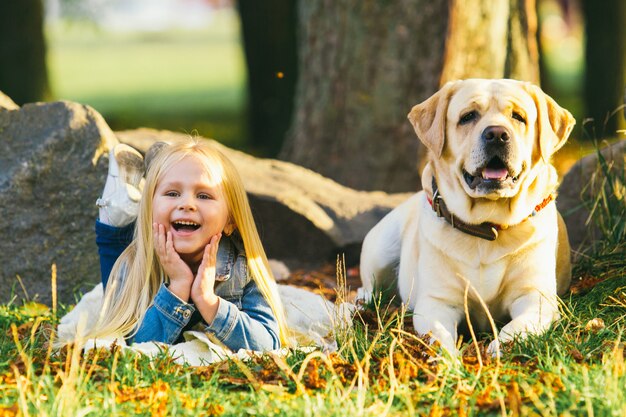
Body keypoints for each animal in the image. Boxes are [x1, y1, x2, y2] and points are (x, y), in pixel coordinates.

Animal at [358, 78, 572, 354]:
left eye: (518, 117)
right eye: (468, 116)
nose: (497, 134)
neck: (487, 228)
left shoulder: (536, 296)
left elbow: (517, 326)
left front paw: (499, 348)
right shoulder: (437, 302)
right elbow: (439, 336)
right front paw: (448, 357)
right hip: (380, 249)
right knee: (368, 286)